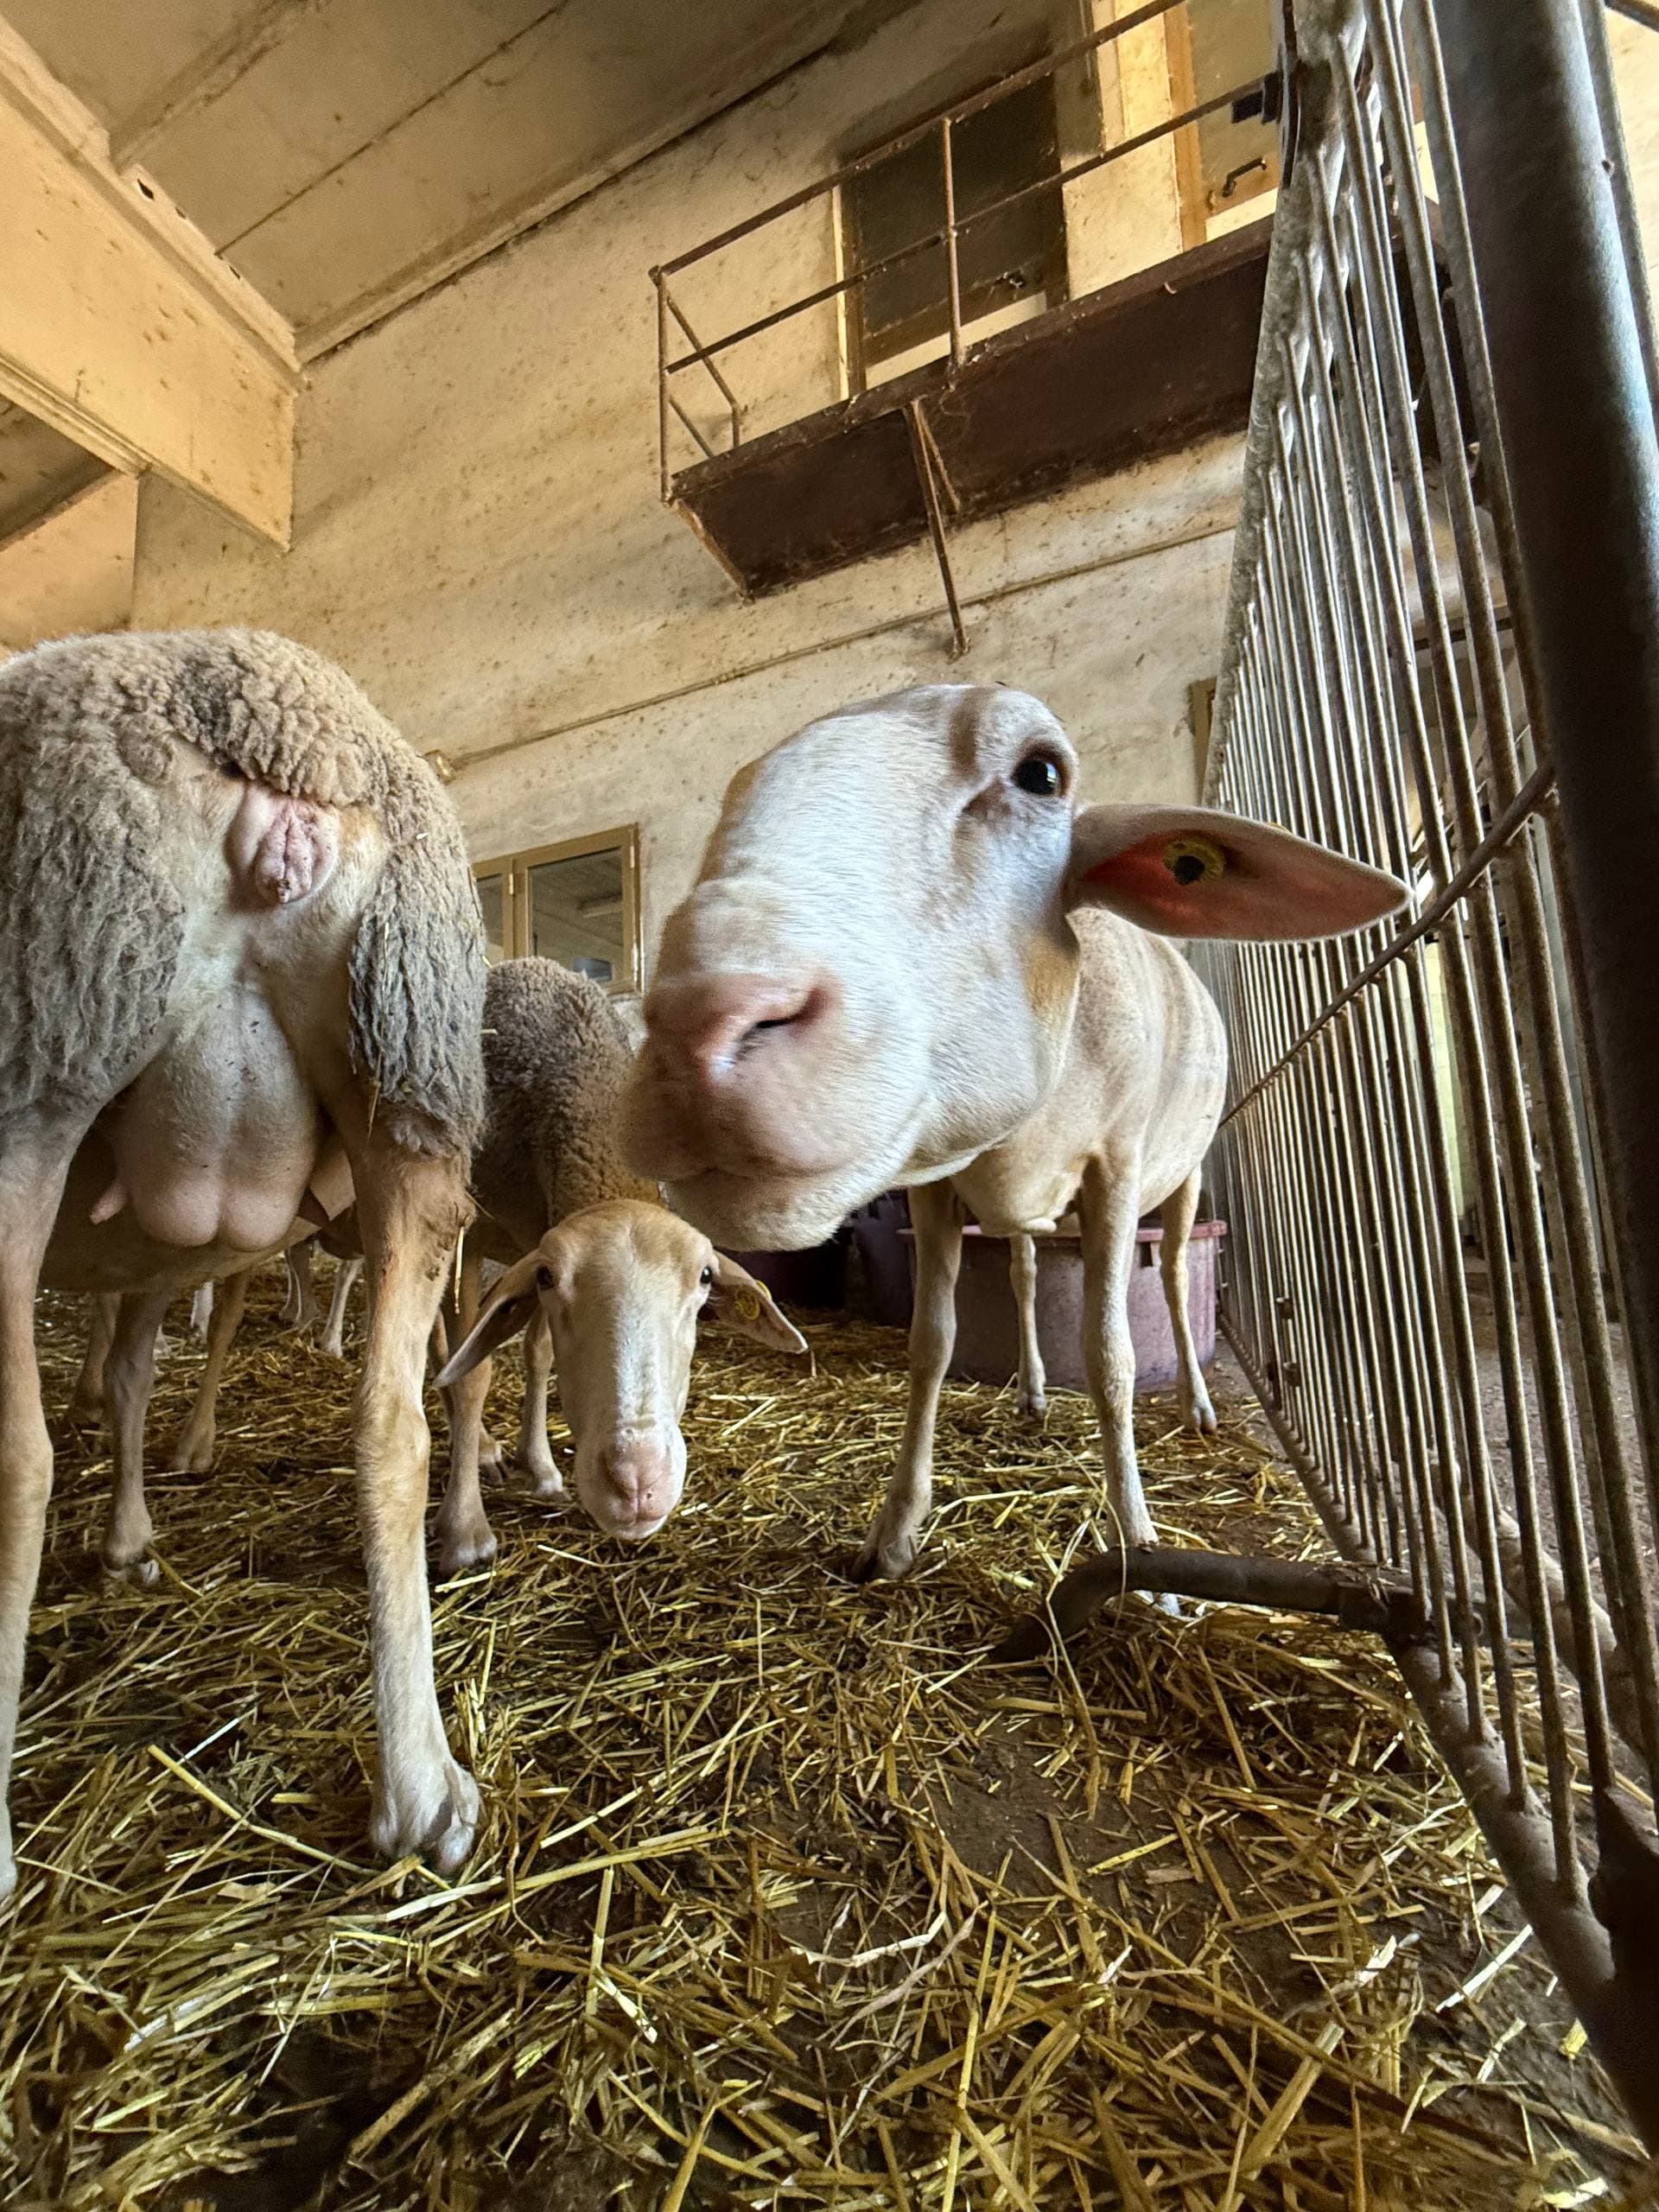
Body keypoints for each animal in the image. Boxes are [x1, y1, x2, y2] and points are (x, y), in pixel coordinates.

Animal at [0, 626, 487, 1897]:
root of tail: (290, 755)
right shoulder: (147, 1262)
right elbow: (128, 1376)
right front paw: (130, 1541)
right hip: (411, 1075)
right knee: (391, 1427)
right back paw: (423, 1790)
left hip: (45, 1033)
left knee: (16, 1458)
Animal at [431, 958, 807, 1577]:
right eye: (551, 1277)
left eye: (705, 1278)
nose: (635, 1482)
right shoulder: (477, 1233)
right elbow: (472, 1374)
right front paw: (464, 1529)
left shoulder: (536, 1236)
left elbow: (538, 1354)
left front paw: (542, 1467)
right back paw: (476, 1443)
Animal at [622, 684, 1404, 1579]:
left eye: (1042, 774)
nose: (699, 1030)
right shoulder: (934, 1187)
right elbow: (931, 1343)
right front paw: (895, 1531)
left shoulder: (1116, 1168)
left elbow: (1111, 1356)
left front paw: (1141, 1553)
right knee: (1029, 1271)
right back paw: (1031, 1390)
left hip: (1188, 1172)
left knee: (1175, 1274)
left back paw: (1197, 1402)